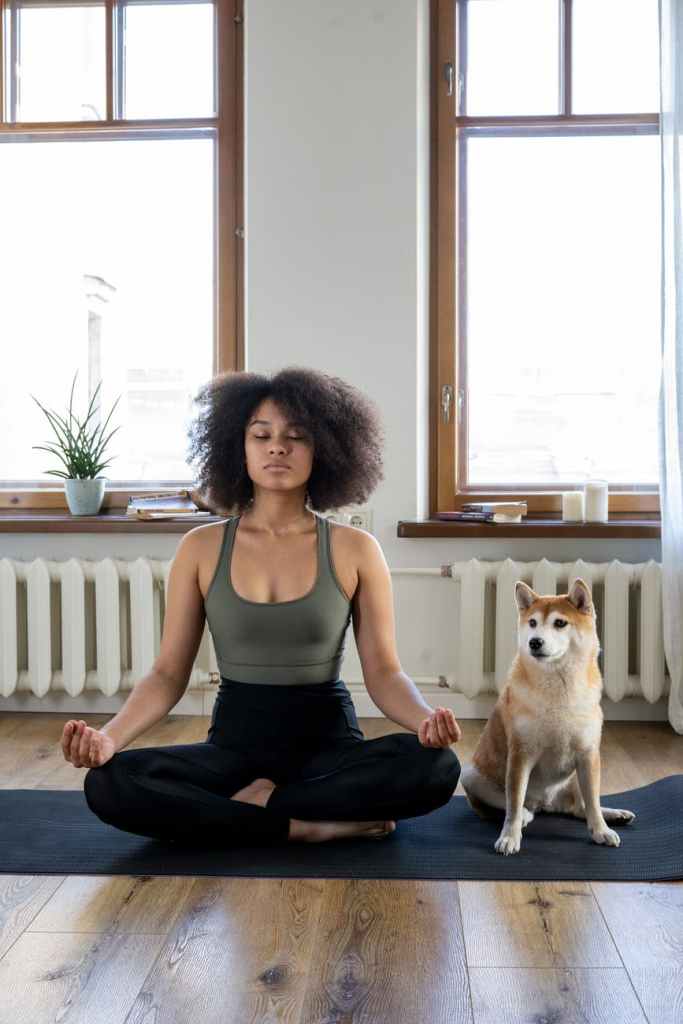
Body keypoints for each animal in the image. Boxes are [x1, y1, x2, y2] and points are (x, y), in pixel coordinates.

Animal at [456, 577, 638, 856]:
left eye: (560, 623)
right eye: (532, 623)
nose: (535, 642)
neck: (558, 687)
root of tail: (546, 804)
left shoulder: (588, 754)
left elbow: (593, 803)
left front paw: (601, 830)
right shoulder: (520, 754)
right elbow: (513, 804)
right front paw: (510, 837)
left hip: (576, 776)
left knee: (581, 807)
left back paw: (614, 815)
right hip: (471, 774)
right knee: (511, 806)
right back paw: (526, 816)